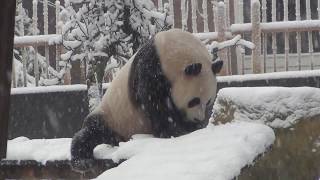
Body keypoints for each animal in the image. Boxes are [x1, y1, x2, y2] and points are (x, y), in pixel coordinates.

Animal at [71, 28, 224, 171]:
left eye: (208, 102)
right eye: (194, 101)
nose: (198, 118)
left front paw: (194, 127)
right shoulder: (151, 70)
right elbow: (158, 106)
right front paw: (176, 132)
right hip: (113, 115)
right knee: (92, 132)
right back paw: (82, 161)